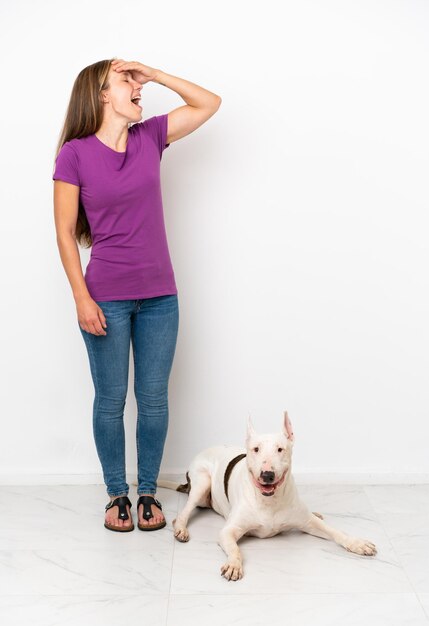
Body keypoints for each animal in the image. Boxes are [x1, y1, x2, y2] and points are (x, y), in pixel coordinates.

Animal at [156, 410, 374, 580]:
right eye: (256, 449)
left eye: (280, 449)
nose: (267, 474)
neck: (270, 501)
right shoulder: (228, 531)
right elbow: (235, 548)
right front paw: (234, 565)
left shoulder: (309, 523)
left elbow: (337, 532)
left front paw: (357, 543)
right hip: (202, 483)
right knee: (183, 513)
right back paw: (181, 529)